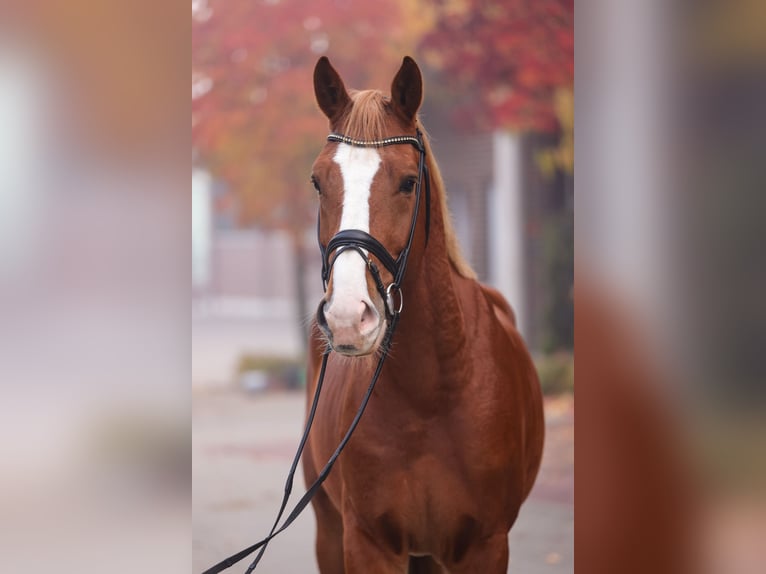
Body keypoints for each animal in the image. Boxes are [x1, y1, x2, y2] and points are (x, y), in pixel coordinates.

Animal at [304, 55, 548, 574]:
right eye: (318, 182)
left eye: (408, 182)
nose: (348, 317)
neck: (431, 394)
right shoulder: (367, 544)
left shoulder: (485, 546)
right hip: (329, 532)